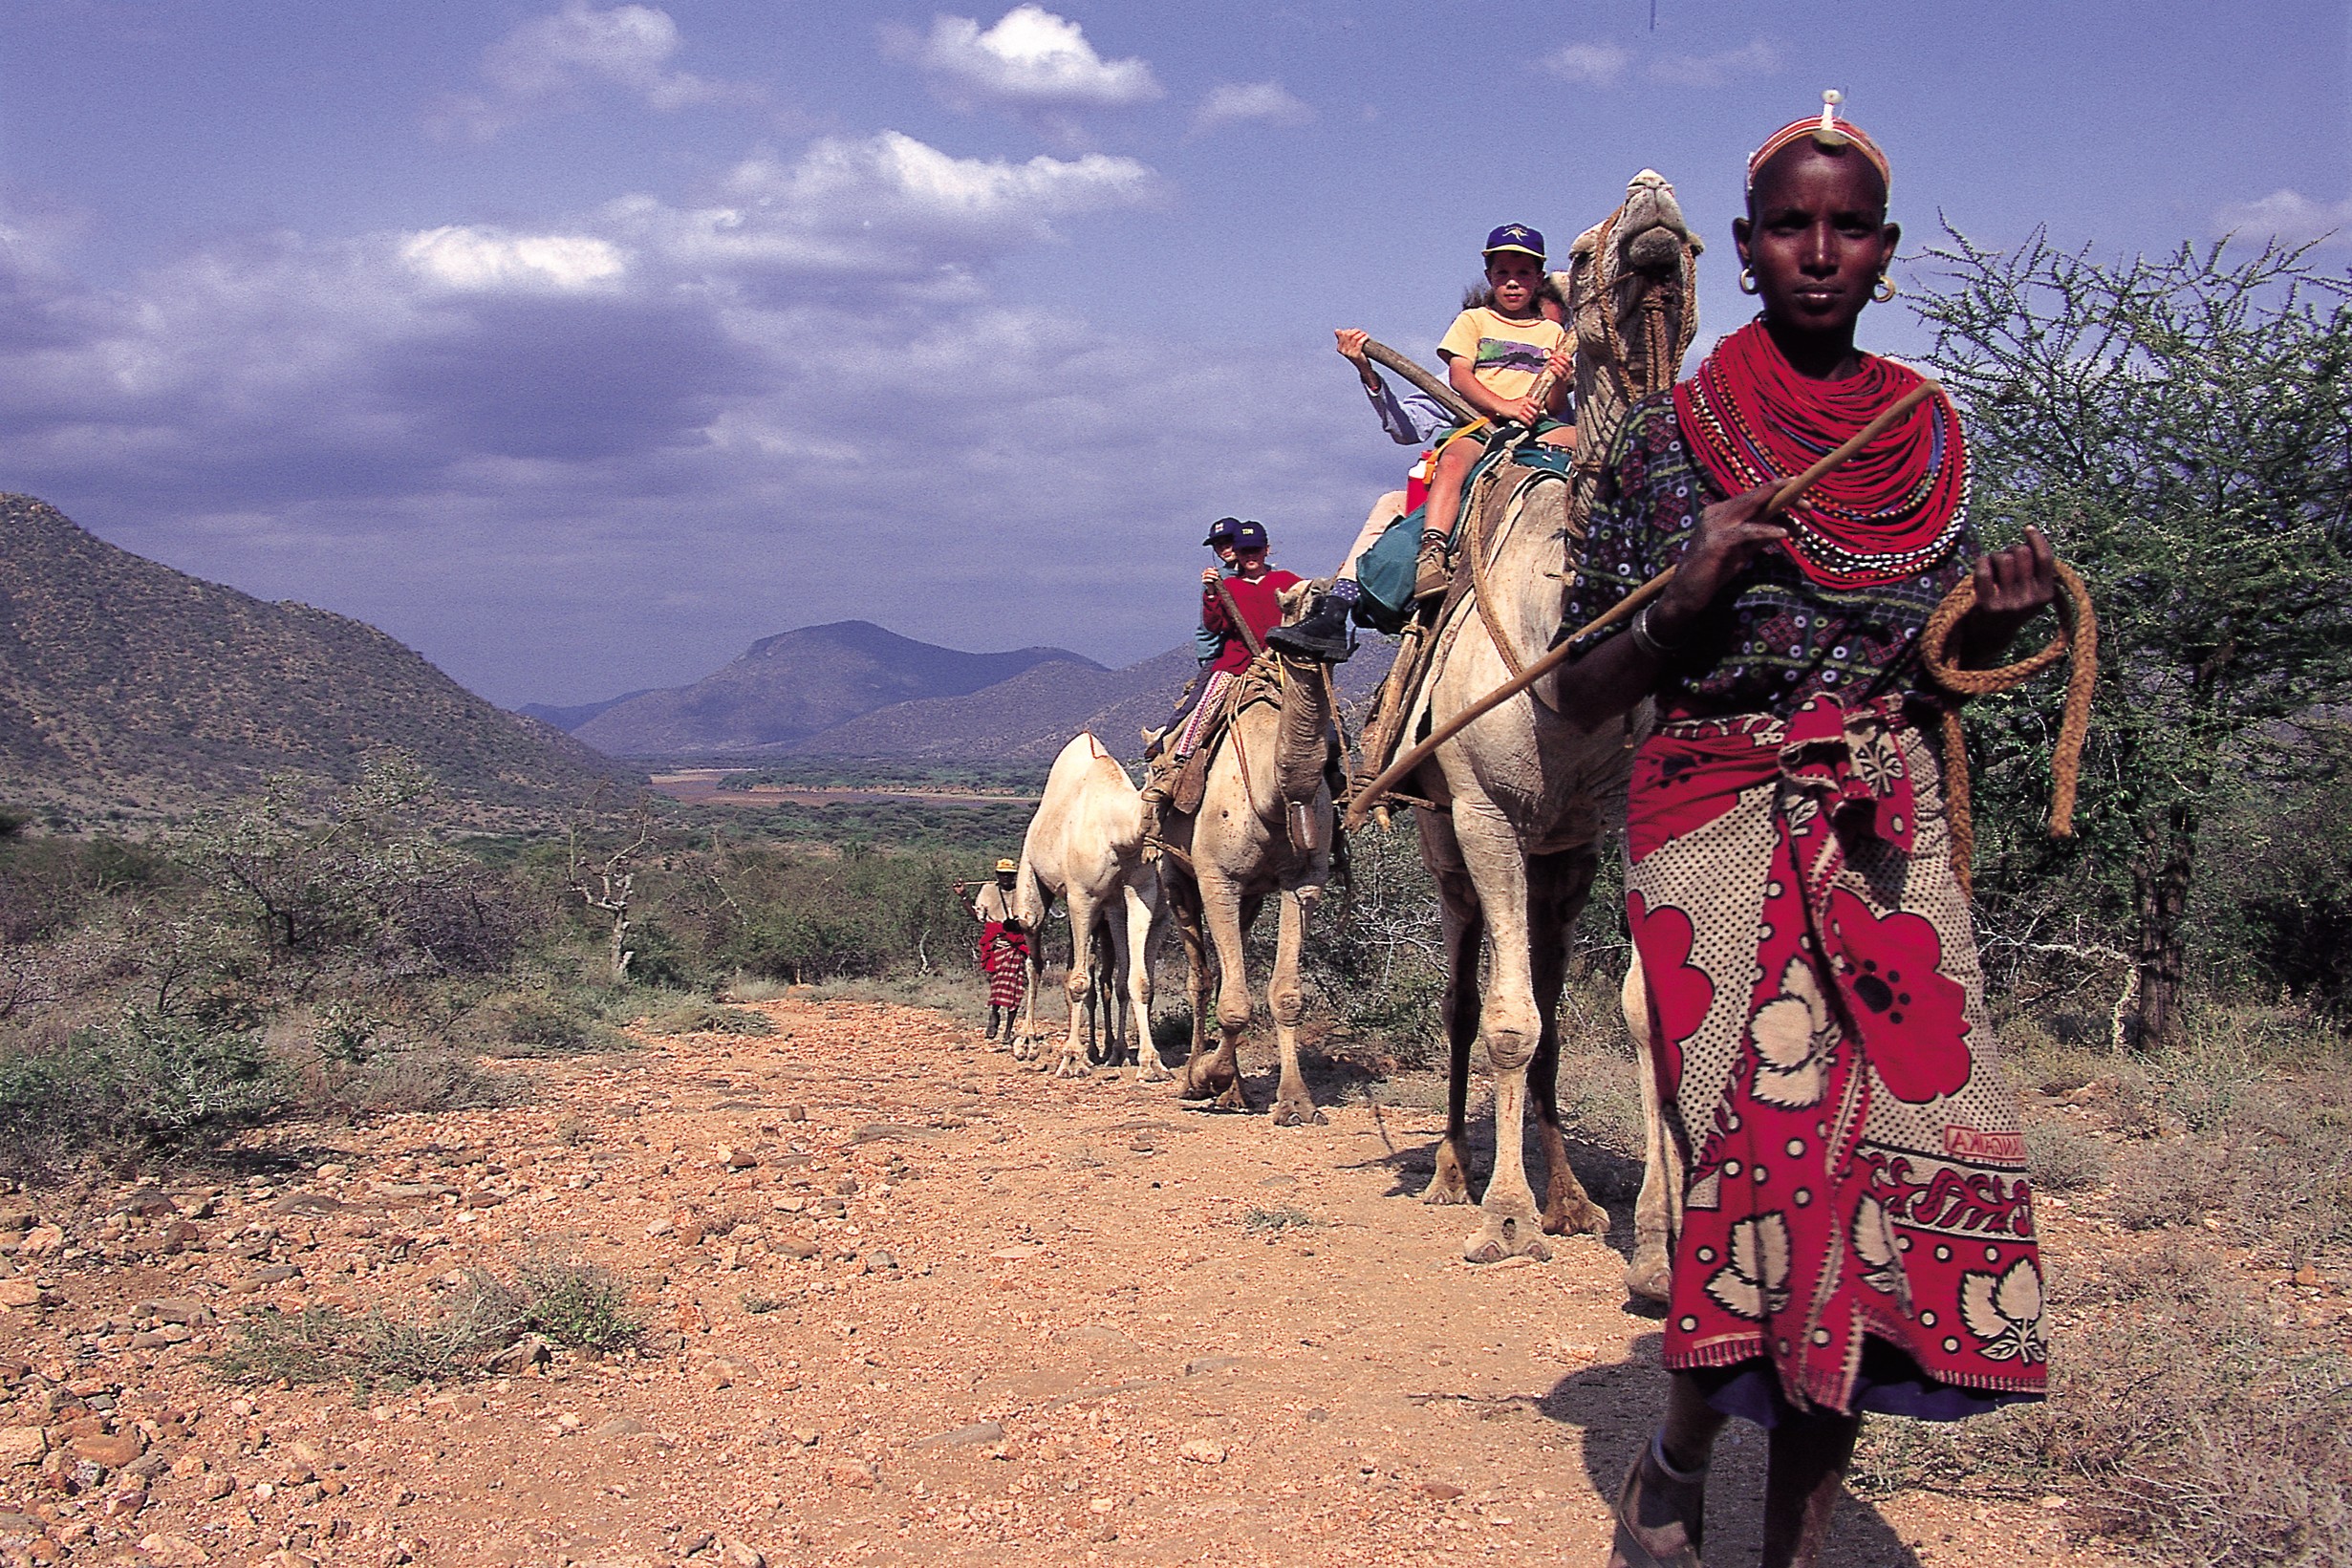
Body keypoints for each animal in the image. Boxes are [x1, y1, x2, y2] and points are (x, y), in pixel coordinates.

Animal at [1011, 733, 1166, 1081]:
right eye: (1155, 760)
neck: (1118, 834)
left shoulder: (1139, 894)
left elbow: (1138, 982)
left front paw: (1151, 1063)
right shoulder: (1082, 896)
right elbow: (1080, 983)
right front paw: (1072, 1059)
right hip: (1031, 874)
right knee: (1034, 955)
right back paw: (1027, 1042)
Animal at [1161, 611, 1345, 1128]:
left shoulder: (1303, 883)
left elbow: (1284, 995)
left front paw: (1296, 1102)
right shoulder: (1216, 879)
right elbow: (1235, 1004)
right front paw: (1206, 1076)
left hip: (1252, 895)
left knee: (1226, 971)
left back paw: (1235, 1092)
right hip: (1175, 877)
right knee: (1201, 978)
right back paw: (1192, 1080)